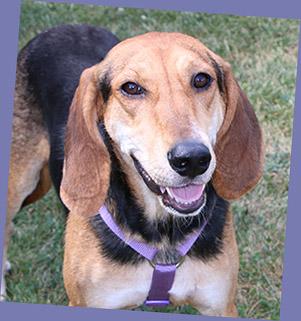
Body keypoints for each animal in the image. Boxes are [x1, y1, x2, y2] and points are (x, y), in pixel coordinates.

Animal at [2, 24, 262, 316]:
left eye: (201, 80)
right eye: (131, 88)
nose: (193, 159)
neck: (163, 235)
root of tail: (60, 28)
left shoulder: (220, 305)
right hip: (18, 181)